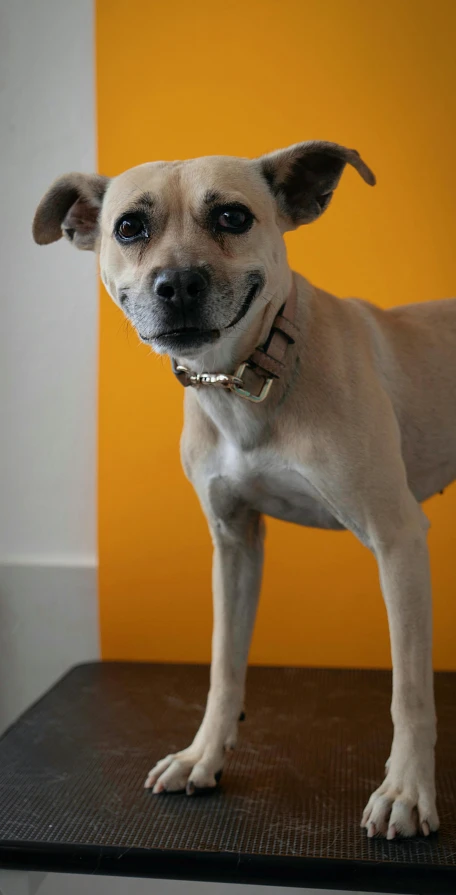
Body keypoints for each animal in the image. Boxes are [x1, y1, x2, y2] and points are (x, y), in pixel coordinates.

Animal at [33, 142, 456, 840]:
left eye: (232, 216)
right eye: (129, 227)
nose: (178, 284)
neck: (248, 379)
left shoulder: (397, 541)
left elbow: (410, 690)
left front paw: (407, 790)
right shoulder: (233, 545)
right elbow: (224, 665)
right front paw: (203, 756)